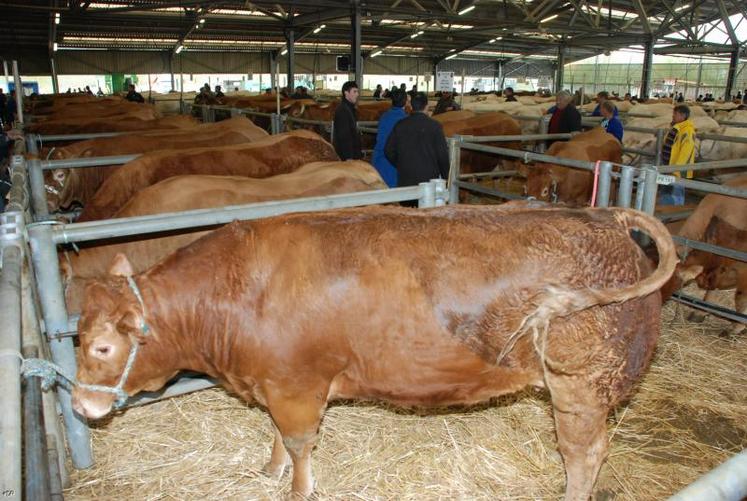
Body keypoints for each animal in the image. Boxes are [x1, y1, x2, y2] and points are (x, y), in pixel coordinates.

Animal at [73, 202, 680, 500]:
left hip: (580, 384)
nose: (80, 406)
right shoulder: (273, 381)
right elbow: (275, 435)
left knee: (584, 454)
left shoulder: (296, 385)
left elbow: (299, 443)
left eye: (103, 346)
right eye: (75, 336)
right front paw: (269, 470)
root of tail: (606, 216)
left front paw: (299, 489)